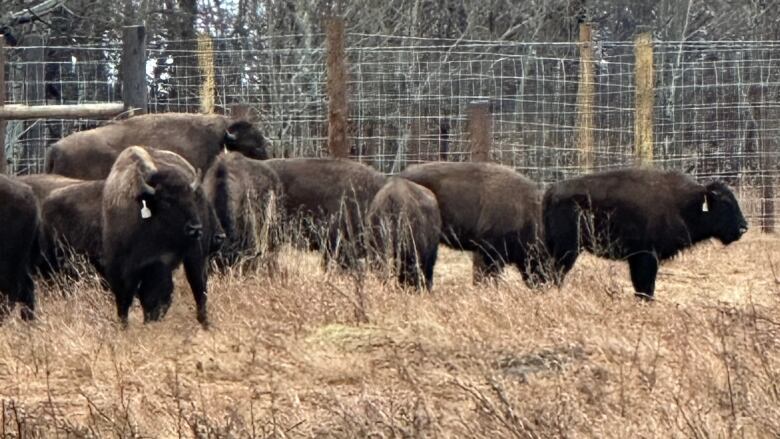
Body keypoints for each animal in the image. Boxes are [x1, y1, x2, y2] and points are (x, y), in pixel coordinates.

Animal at [101, 147, 222, 326]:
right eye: (167, 201)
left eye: (192, 199)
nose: (195, 228)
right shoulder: (120, 269)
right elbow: (124, 302)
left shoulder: (157, 265)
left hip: (196, 257)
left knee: (199, 289)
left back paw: (205, 323)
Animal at [544, 168, 748, 300]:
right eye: (725, 203)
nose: (743, 227)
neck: (685, 204)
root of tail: (551, 191)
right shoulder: (647, 256)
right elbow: (646, 285)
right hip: (568, 250)